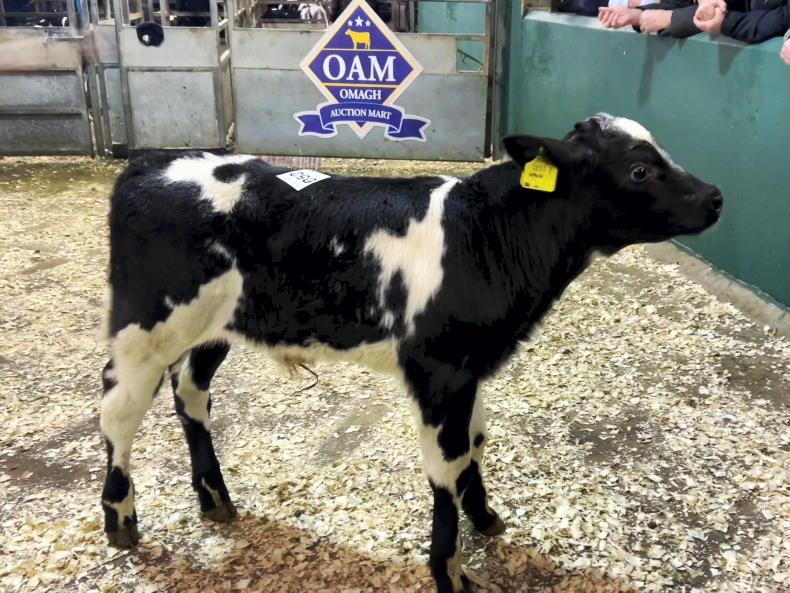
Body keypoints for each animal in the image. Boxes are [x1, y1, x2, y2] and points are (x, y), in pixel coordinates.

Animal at [99, 114, 722, 593]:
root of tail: (149, 161)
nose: (716, 197)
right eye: (640, 169)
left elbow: (474, 444)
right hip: (142, 327)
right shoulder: (438, 370)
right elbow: (446, 466)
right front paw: (450, 571)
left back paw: (213, 498)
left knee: (190, 392)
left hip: (214, 326)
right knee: (119, 410)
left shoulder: (471, 368)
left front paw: (485, 517)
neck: (488, 235)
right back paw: (120, 519)